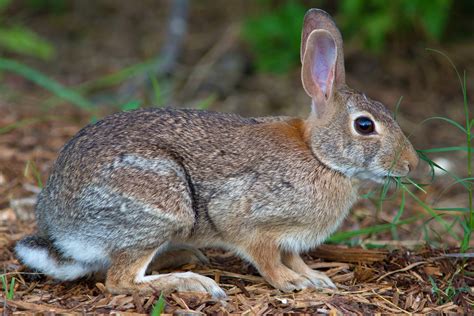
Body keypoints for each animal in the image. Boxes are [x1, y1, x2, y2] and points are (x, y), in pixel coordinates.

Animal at [14, 8, 416, 298]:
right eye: (364, 125)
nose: (411, 165)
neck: (319, 155)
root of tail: (59, 228)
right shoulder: (250, 221)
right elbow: (267, 259)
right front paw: (292, 283)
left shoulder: (290, 238)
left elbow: (294, 257)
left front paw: (316, 279)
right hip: (163, 205)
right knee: (119, 281)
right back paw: (193, 282)